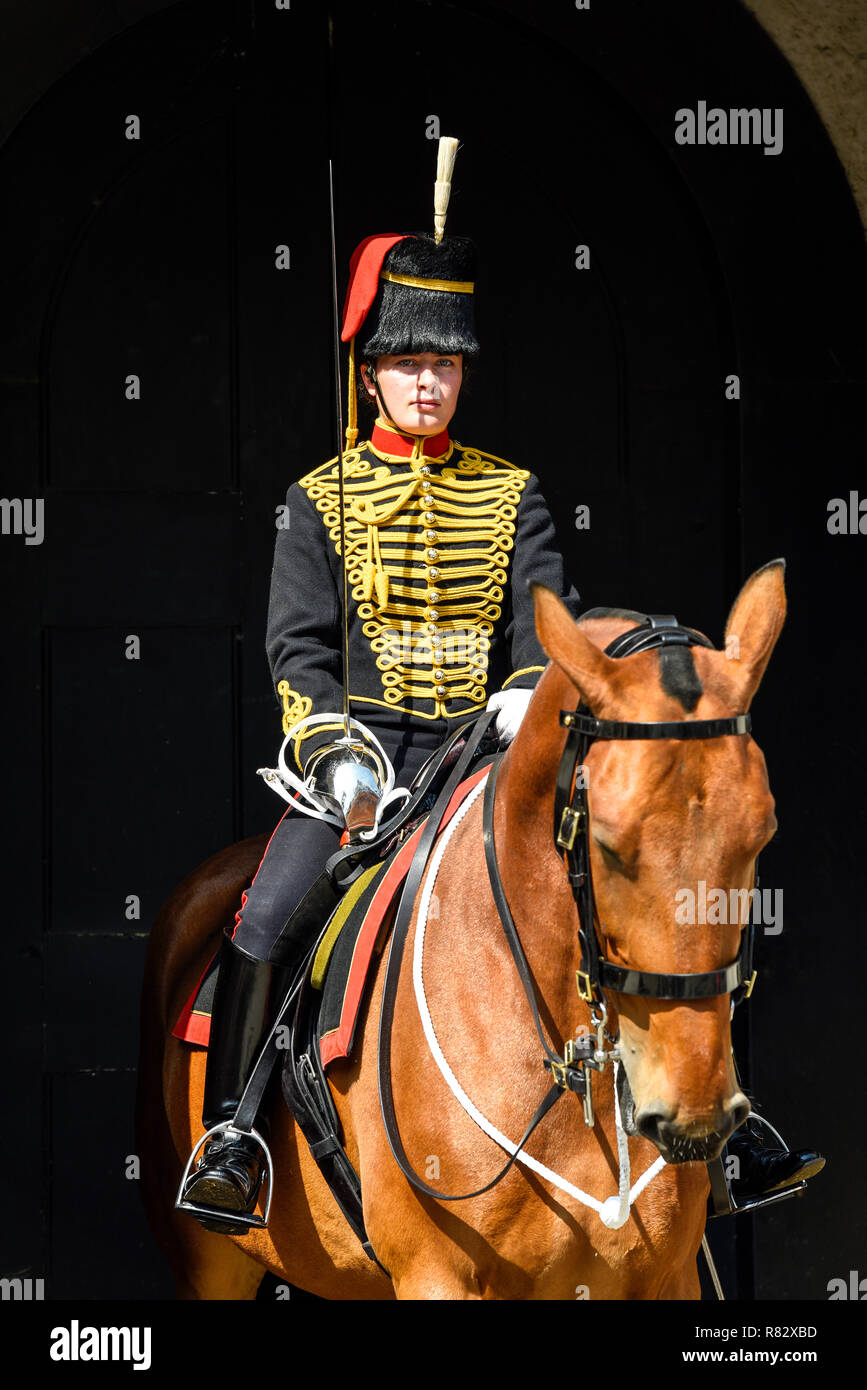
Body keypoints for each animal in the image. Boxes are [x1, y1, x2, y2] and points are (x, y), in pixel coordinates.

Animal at [136, 558, 783, 1295]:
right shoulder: (437, 1273)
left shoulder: (664, 1277)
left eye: (761, 833)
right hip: (212, 1258)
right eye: (608, 843)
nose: (690, 1110)